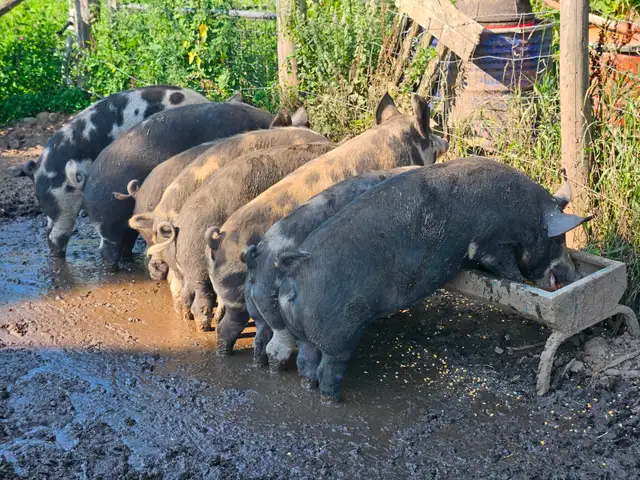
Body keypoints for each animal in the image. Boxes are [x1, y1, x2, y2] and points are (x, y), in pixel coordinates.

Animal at [148, 140, 334, 331]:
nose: (153, 266)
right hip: (197, 269)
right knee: (201, 297)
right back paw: (203, 326)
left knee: (186, 292)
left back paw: (191, 317)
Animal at [243, 167, 419, 369]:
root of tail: (256, 262)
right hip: (275, 312)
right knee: (277, 346)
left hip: (257, 310)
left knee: (260, 338)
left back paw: (258, 362)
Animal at [275, 157, 591, 402]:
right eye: (558, 240)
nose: (573, 274)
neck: (528, 214)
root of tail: (295, 276)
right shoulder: (493, 242)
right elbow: (505, 268)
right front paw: (521, 282)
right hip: (340, 334)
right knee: (328, 370)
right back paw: (334, 400)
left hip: (305, 334)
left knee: (305, 362)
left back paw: (308, 386)